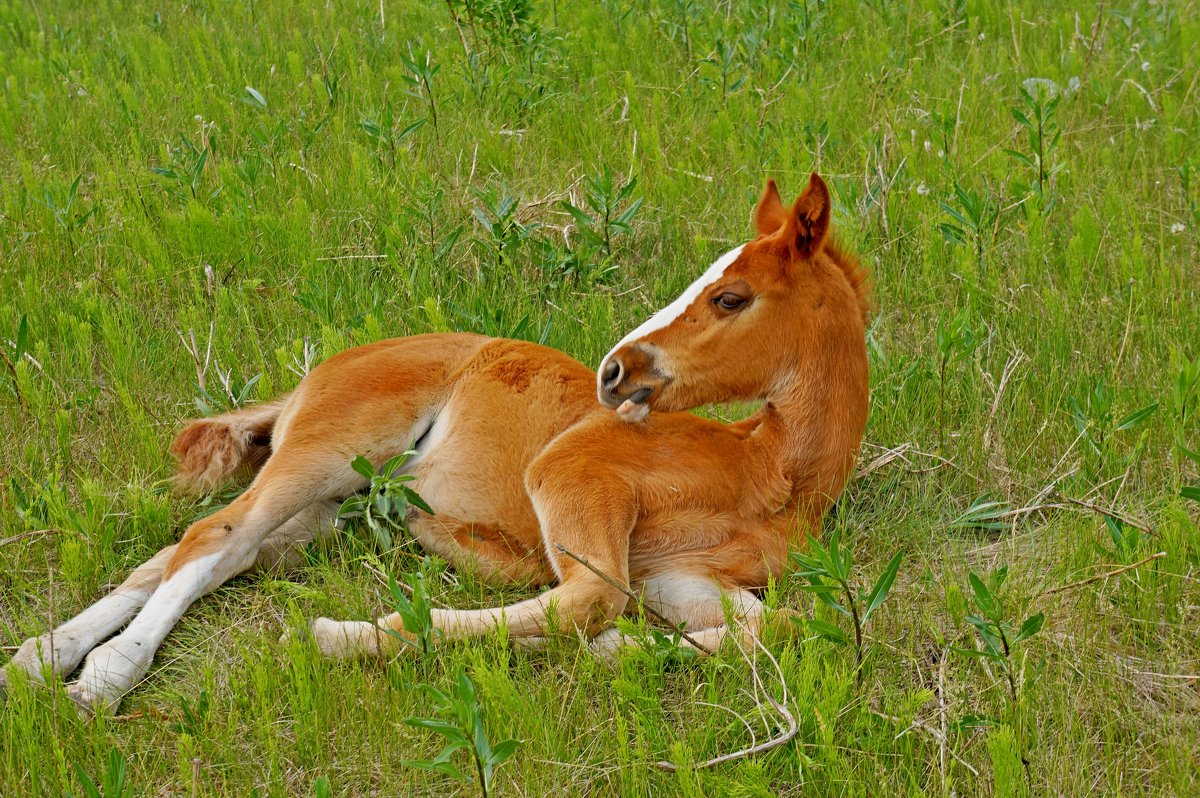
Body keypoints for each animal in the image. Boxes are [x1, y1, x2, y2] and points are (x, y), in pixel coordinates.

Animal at [0, 174, 864, 710]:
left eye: (730, 297)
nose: (615, 372)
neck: (762, 472)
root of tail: (319, 373)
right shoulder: (574, 477)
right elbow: (587, 602)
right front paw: (341, 636)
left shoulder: (678, 577)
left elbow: (785, 630)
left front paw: (621, 653)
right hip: (323, 453)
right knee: (217, 533)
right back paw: (103, 678)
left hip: (335, 504)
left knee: (204, 555)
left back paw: (41, 656)